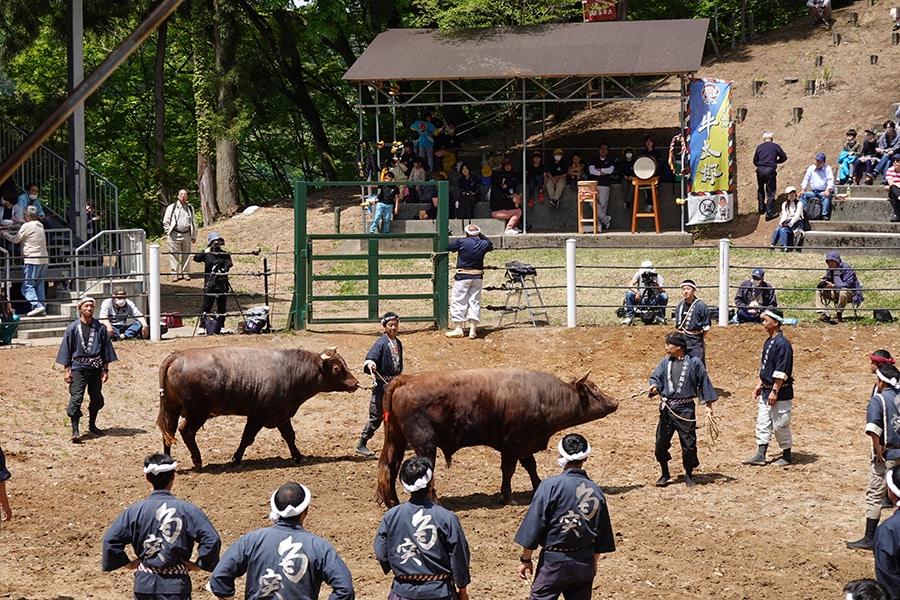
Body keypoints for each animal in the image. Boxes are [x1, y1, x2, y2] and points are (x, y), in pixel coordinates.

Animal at [158, 346, 358, 468]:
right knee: (186, 431)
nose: (355, 383)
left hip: (172, 409)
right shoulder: (257, 416)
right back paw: (197, 460)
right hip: (197, 413)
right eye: (337, 368)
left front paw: (298, 456)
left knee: (168, 432)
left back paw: (167, 460)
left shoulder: (282, 415)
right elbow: (247, 438)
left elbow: (289, 436)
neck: (290, 371)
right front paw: (236, 459)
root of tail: (177, 355)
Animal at [374, 368, 620, 504]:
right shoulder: (512, 444)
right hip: (425, 445)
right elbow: (509, 470)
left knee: (390, 465)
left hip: (396, 439)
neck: (542, 397)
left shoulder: (525, 444)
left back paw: (393, 500)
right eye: (594, 389)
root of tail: (404, 379)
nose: (615, 401)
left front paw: (537, 486)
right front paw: (508, 496)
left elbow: (530, 466)